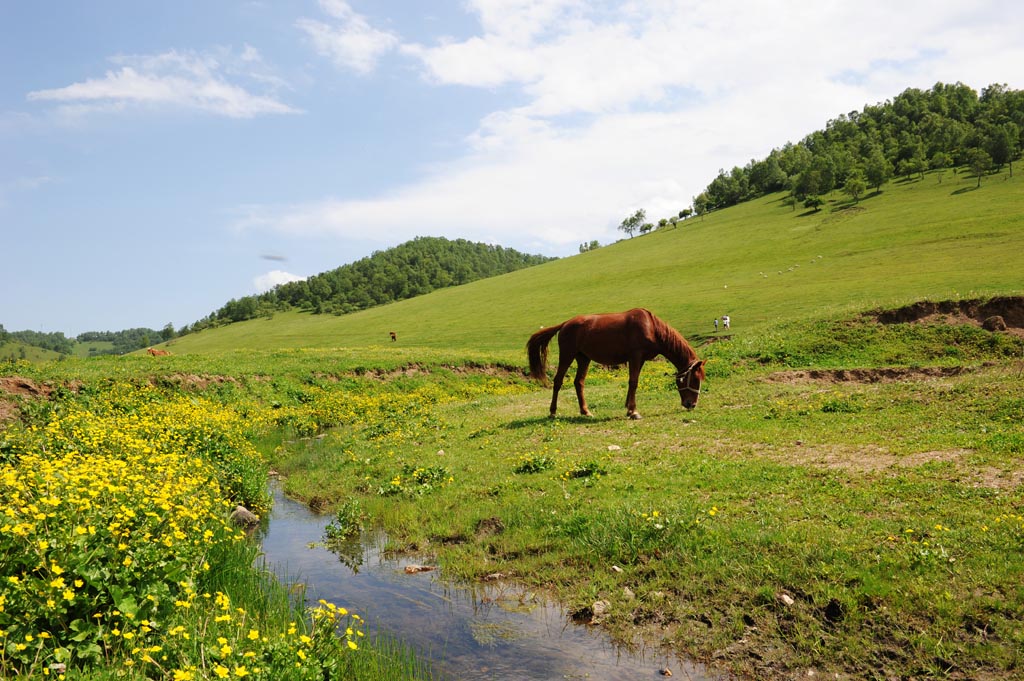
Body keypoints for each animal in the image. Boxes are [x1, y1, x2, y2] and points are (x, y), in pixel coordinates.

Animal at [528, 309, 704, 419]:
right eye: (695, 379)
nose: (692, 404)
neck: (652, 328)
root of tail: (565, 324)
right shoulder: (635, 357)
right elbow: (634, 382)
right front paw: (634, 411)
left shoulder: (640, 360)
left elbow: (633, 383)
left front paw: (629, 408)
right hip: (567, 355)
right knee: (558, 381)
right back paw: (552, 412)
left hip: (583, 358)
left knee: (579, 383)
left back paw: (585, 411)